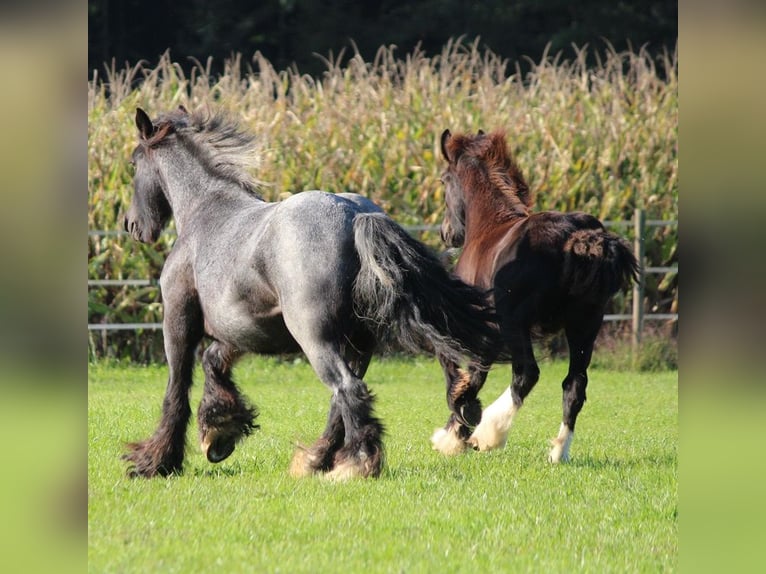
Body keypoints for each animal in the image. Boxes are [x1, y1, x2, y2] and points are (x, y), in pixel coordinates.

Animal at [123, 108, 500, 482]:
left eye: (133, 162)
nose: (131, 225)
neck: (205, 211)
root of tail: (356, 216)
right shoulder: (244, 331)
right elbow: (213, 363)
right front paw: (220, 432)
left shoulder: (178, 321)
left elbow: (177, 388)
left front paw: (154, 461)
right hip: (358, 340)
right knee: (346, 396)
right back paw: (319, 459)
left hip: (315, 337)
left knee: (347, 389)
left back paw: (354, 464)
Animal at [432, 129, 640, 464]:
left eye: (443, 180)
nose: (447, 232)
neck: (488, 228)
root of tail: (577, 237)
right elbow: (475, 375)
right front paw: (458, 432)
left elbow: (467, 376)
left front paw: (453, 435)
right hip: (585, 324)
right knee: (575, 384)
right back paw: (558, 451)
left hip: (516, 324)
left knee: (526, 374)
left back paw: (489, 435)